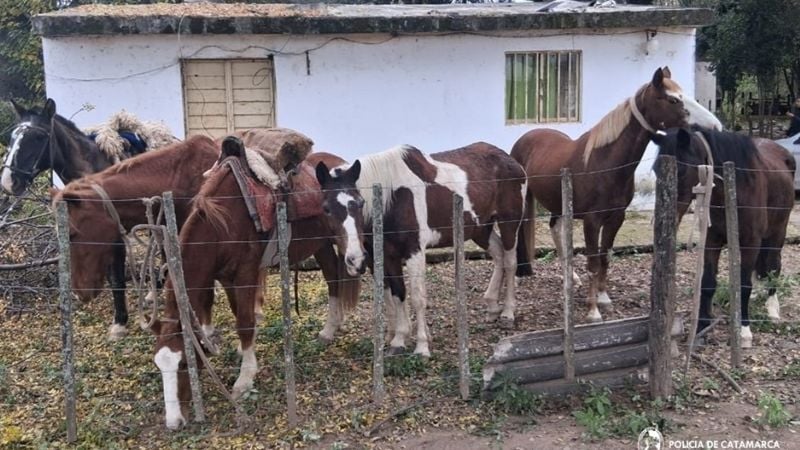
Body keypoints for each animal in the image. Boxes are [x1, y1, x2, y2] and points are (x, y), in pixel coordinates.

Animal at [147, 137, 365, 429]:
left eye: (184, 364)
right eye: (158, 365)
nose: (173, 422)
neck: (224, 223)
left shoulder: (245, 274)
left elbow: (245, 322)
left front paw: (245, 378)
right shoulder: (226, 277)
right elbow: (238, 314)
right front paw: (243, 352)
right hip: (321, 244)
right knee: (333, 278)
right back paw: (331, 328)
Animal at [316, 142, 526, 357]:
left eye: (360, 204)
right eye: (326, 208)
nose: (355, 260)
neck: (394, 198)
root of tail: (509, 159)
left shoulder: (414, 251)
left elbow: (417, 297)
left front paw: (422, 347)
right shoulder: (389, 255)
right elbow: (398, 293)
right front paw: (399, 340)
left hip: (509, 223)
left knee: (510, 262)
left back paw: (508, 313)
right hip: (481, 229)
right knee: (499, 255)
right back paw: (492, 307)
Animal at [511, 67, 723, 323]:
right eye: (673, 99)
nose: (715, 126)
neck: (605, 163)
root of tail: (525, 139)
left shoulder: (616, 218)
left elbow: (605, 257)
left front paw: (603, 299)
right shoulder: (592, 221)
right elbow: (593, 262)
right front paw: (593, 311)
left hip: (559, 206)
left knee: (556, 230)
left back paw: (570, 278)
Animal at [651, 126, 795, 348]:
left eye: (681, 170)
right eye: (655, 171)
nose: (666, 218)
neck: (734, 189)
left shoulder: (751, 242)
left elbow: (744, 285)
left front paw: (744, 331)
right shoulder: (712, 240)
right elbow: (708, 282)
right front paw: (701, 328)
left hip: (777, 234)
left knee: (773, 267)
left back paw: (772, 308)